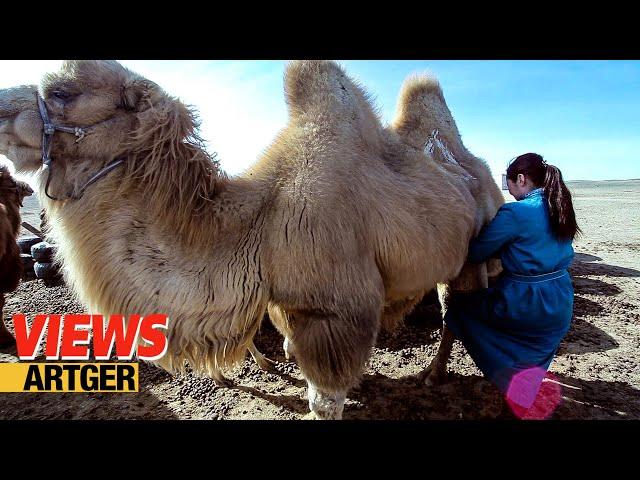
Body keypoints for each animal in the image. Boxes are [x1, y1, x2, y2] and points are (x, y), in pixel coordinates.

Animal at [0, 60, 500, 418]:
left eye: (62, 92)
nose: (2, 106)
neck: (260, 225)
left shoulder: (335, 312)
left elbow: (324, 401)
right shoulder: (283, 304)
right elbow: (288, 349)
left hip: (479, 243)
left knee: (459, 309)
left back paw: (437, 375)